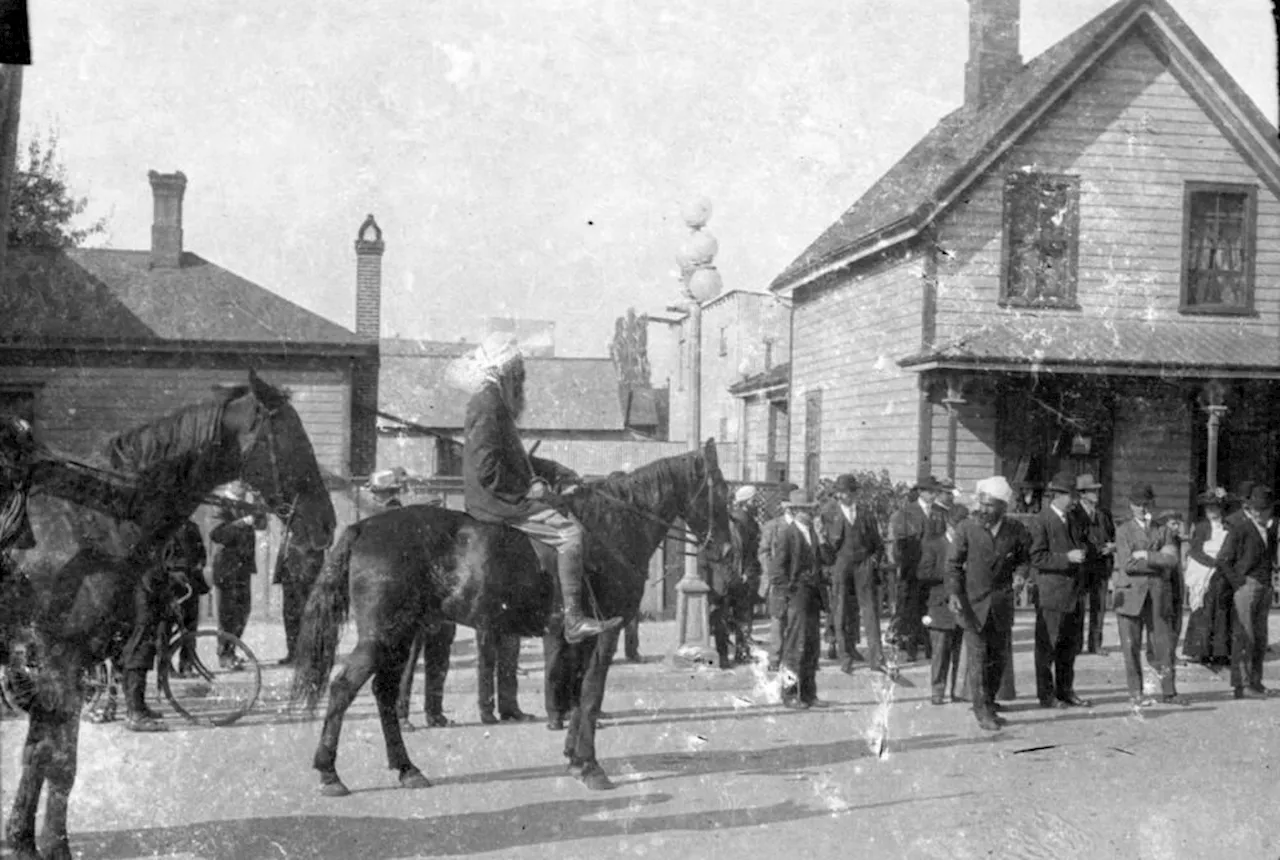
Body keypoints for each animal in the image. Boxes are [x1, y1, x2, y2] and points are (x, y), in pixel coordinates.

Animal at [3, 371, 335, 860]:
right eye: (292, 434)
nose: (326, 522)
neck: (88, 519)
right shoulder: (60, 658)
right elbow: (59, 761)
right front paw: (53, 846)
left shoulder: (59, 663)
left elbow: (38, 755)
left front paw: (22, 841)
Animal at [290, 440, 732, 798]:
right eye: (721, 490)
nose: (727, 551)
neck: (611, 529)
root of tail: (365, 526)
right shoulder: (603, 633)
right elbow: (590, 695)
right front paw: (591, 767)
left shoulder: (580, 638)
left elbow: (579, 694)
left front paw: (574, 758)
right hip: (383, 635)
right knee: (344, 688)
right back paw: (330, 773)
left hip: (398, 636)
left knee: (383, 693)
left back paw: (406, 768)